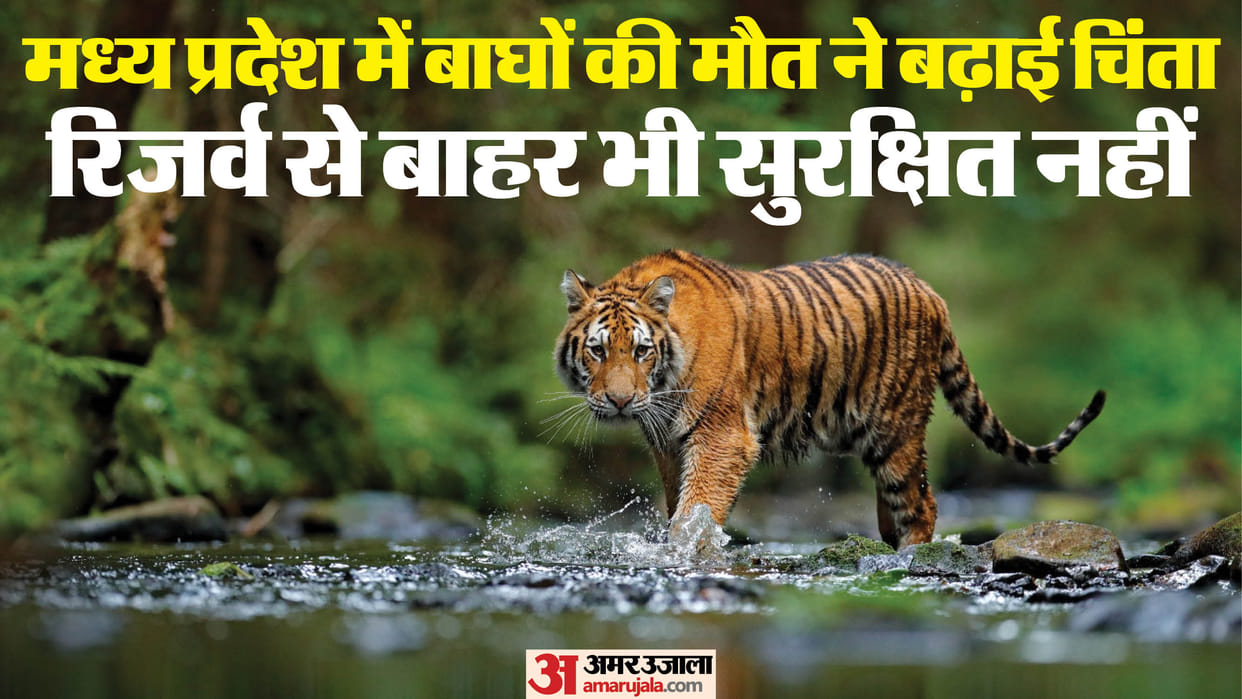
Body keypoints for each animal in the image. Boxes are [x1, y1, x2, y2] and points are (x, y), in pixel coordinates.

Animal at [553, 249, 1106, 549]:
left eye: (641, 351)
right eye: (598, 351)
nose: (620, 402)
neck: (664, 384)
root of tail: (930, 290)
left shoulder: (721, 436)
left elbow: (697, 509)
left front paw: (687, 551)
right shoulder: (669, 443)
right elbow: (679, 505)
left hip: (897, 428)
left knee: (921, 502)